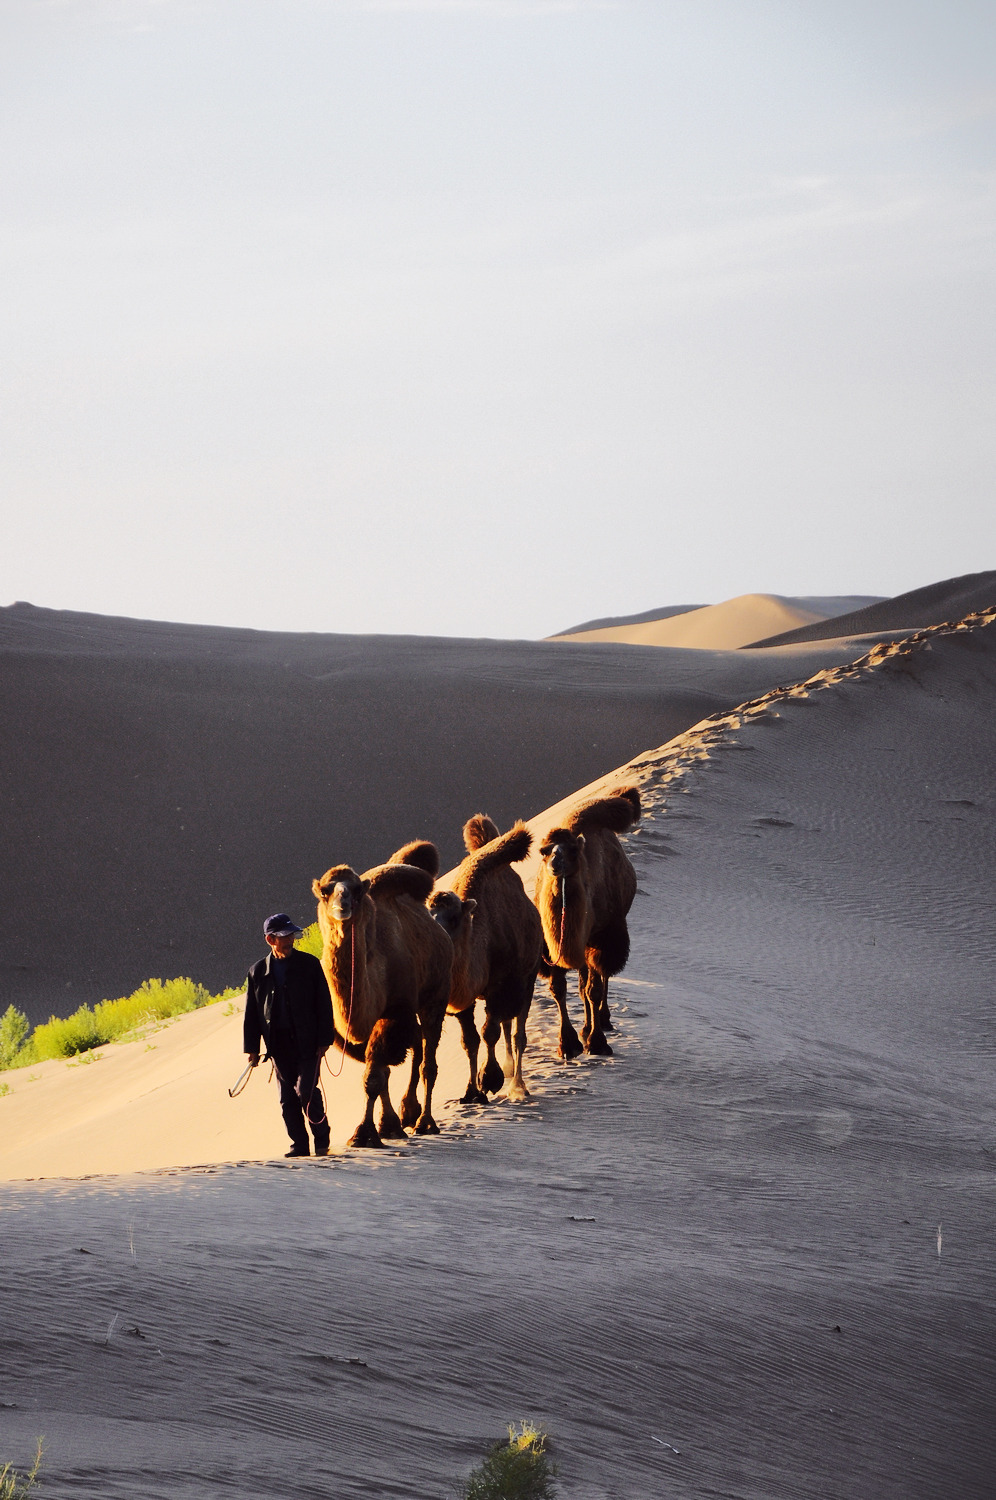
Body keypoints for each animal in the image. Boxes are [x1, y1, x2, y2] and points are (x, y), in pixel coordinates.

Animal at [312, 846, 450, 1146]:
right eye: (325, 891)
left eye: (356, 890)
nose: (343, 904)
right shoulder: (345, 1034)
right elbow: (379, 1072)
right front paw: (388, 1126)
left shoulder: (394, 1013)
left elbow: (374, 1076)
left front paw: (364, 1134)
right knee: (416, 1047)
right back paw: (408, 1112)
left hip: (435, 996)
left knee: (429, 1060)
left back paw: (425, 1122)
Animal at [423, 822, 540, 1104]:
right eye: (428, 916)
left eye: (454, 918)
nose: (438, 940)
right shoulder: (464, 1002)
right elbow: (471, 1040)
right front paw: (471, 1092)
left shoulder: (502, 986)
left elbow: (489, 1032)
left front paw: (489, 1079)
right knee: (508, 1028)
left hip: (528, 978)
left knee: (518, 1032)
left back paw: (518, 1085)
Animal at [534, 786, 642, 1056]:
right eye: (544, 851)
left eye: (572, 851)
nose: (555, 863)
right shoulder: (550, 947)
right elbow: (559, 988)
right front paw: (567, 1043)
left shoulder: (599, 936)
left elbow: (593, 989)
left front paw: (597, 1042)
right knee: (584, 981)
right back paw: (586, 1027)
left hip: (609, 935)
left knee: (602, 976)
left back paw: (603, 1020)